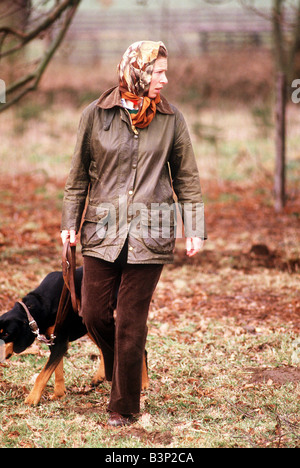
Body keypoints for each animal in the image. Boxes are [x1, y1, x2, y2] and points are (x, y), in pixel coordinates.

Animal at [0, 266, 149, 406]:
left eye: (7, 334)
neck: (37, 307)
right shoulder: (54, 341)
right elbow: (57, 370)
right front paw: (59, 394)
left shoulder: (60, 342)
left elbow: (42, 375)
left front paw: (32, 399)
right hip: (90, 321)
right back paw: (101, 376)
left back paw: (144, 383)